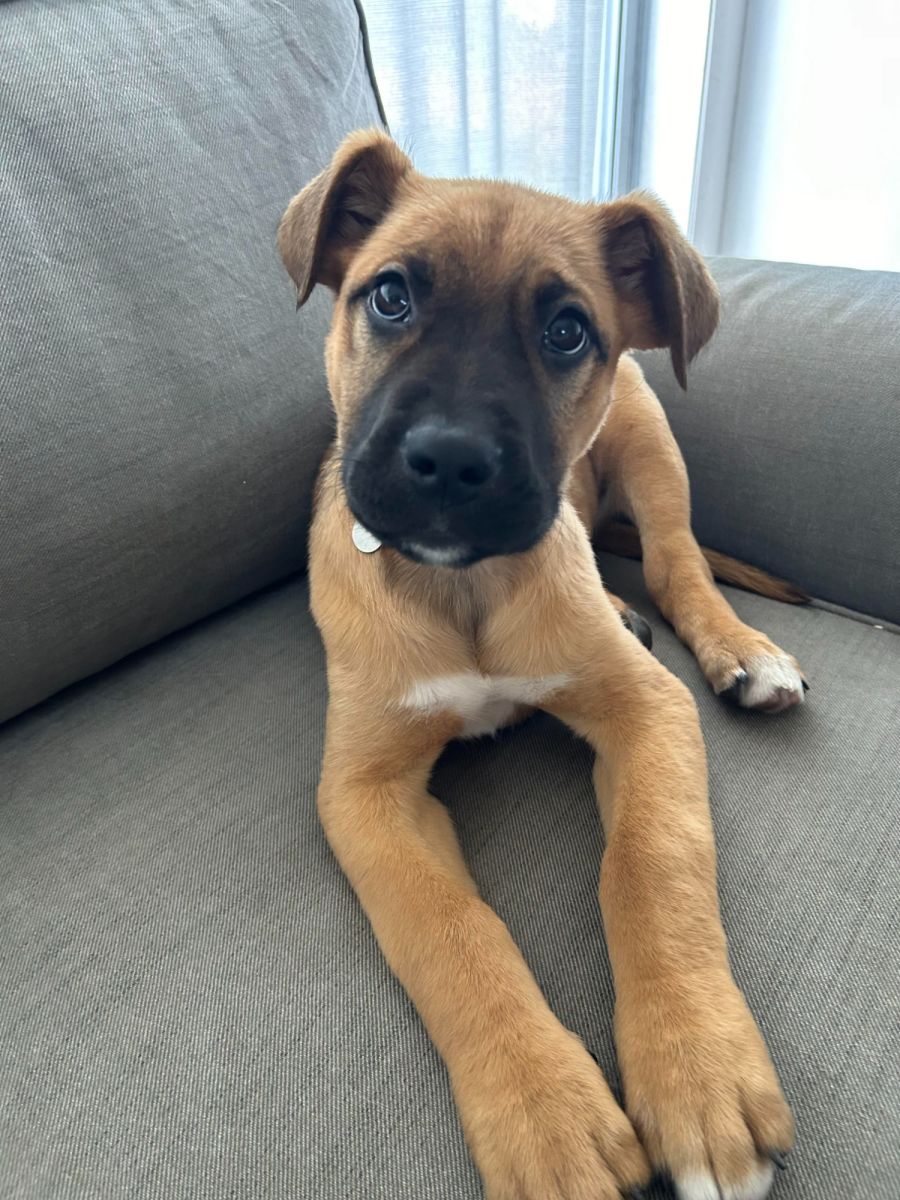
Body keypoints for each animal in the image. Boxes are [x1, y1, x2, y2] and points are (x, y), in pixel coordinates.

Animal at [279, 130, 801, 1200]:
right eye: (389, 296)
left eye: (567, 332)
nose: (449, 461)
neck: (468, 588)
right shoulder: (364, 790)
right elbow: (451, 932)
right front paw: (546, 1117)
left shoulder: (650, 712)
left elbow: (653, 862)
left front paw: (699, 1074)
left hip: (651, 444)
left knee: (678, 560)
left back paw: (739, 648)